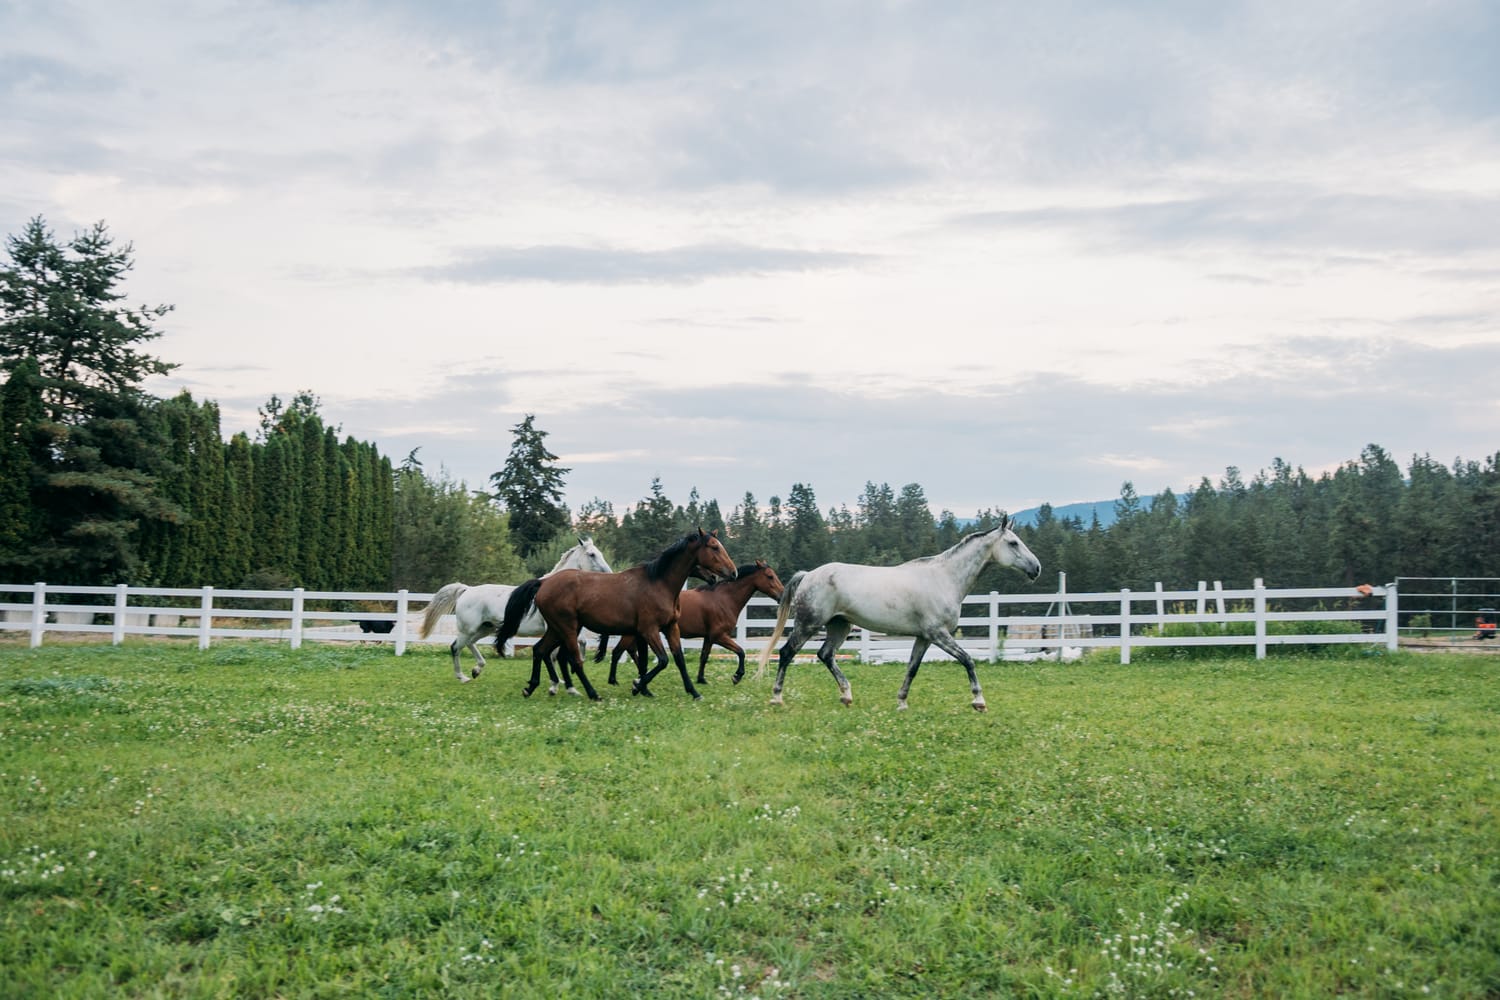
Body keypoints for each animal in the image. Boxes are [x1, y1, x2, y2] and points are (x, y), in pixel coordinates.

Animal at [418, 535, 613, 683]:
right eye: (592, 554)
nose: (609, 573)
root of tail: (467, 590)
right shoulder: (557, 628)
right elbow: (570, 647)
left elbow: (566, 649)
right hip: (469, 629)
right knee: (455, 647)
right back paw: (462, 677)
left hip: (486, 628)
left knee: (470, 643)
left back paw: (476, 670)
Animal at [496, 528, 738, 702]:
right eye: (714, 547)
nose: (733, 573)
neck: (659, 583)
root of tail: (544, 583)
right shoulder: (649, 630)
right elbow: (662, 660)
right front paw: (637, 686)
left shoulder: (670, 628)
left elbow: (678, 659)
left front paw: (694, 692)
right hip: (567, 629)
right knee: (573, 660)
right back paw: (592, 693)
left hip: (557, 629)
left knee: (540, 650)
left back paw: (531, 687)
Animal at [602, 560, 785, 688]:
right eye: (770, 576)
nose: (782, 595)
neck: (724, 599)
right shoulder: (719, 636)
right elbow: (741, 651)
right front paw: (737, 676)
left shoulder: (709, 637)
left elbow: (704, 656)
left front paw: (701, 679)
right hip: (633, 634)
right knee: (618, 652)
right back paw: (615, 680)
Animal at [753, 518, 1041, 711]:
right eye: (1013, 543)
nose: (1036, 568)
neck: (945, 578)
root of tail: (808, 575)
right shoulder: (938, 633)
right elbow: (967, 660)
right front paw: (979, 701)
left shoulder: (924, 637)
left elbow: (912, 668)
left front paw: (901, 702)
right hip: (809, 623)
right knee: (787, 653)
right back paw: (776, 697)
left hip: (839, 626)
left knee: (825, 655)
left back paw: (846, 695)